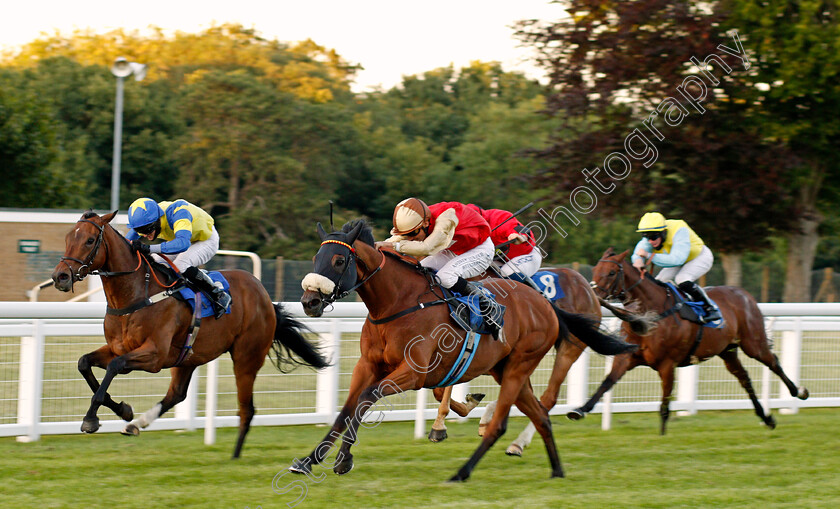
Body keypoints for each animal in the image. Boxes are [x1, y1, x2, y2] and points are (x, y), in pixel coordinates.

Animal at [50, 210, 328, 456]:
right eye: (67, 238)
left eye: (89, 240)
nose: (60, 276)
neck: (136, 294)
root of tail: (265, 297)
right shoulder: (119, 348)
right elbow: (84, 363)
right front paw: (124, 411)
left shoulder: (154, 355)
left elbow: (114, 366)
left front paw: (91, 419)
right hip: (189, 356)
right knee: (177, 394)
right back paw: (136, 424)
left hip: (246, 357)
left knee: (246, 409)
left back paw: (235, 457)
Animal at [430, 266, 600, 456]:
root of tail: (587, 287)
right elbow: (441, 390)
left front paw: (441, 425)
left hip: (567, 351)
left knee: (548, 397)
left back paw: (518, 442)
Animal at [568, 247, 812, 432]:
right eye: (596, 269)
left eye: (611, 272)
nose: (593, 295)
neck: (648, 315)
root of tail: (744, 294)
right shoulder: (626, 358)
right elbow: (606, 383)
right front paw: (579, 409)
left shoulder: (667, 364)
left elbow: (664, 405)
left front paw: (662, 437)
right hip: (727, 351)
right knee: (744, 378)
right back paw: (766, 417)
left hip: (753, 343)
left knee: (773, 362)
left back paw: (798, 392)